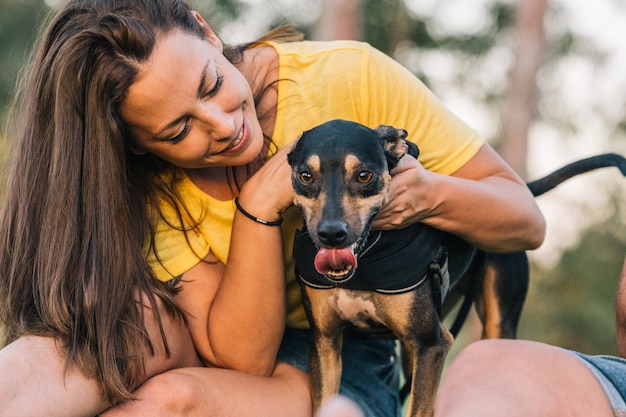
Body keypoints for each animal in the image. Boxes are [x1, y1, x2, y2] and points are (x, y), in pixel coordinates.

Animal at [286, 118, 624, 416]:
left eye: (364, 175)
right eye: (305, 176)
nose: (331, 233)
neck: (371, 258)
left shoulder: (432, 345)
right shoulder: (326, 345)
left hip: (494, 326)